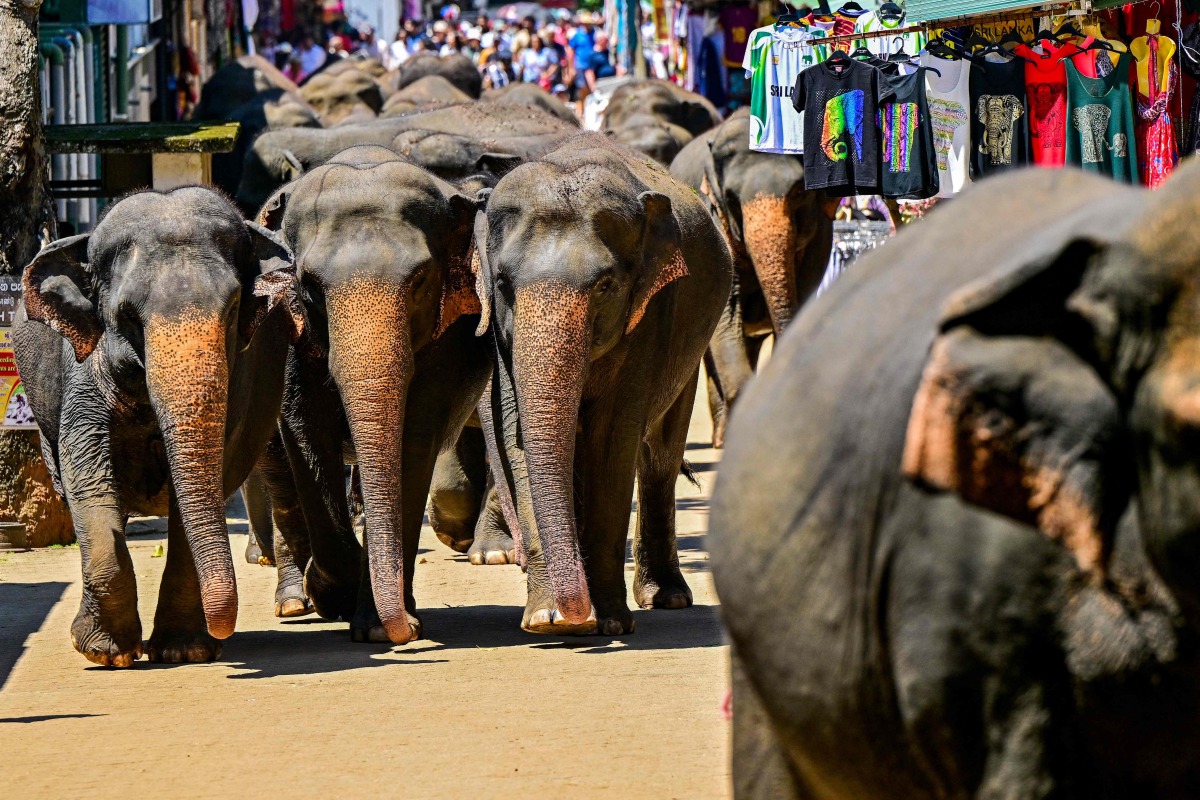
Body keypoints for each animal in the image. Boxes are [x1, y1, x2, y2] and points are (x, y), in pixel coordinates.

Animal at [12, 187, 305, 666]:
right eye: (128, 316)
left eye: (232, 310)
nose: (224, 629)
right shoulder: (84, 369)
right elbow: (88, 477)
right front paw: (106, 653)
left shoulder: (241, 377)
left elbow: (213, 475)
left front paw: (184, 650)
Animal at [257, 144, 489, 643]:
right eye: (309, 285)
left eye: (420, 280)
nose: (401, 632)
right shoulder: (287, 325)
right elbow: (305, 430)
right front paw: (332, 594)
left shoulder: (449, 339)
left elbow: (414, 440)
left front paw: (379, 627)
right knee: (279, 472)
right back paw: (294, 601)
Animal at [476, 133, 733, 635]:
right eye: (503, 283)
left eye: (606, 285)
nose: (577, 614)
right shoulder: (499, 336)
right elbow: (517, 436)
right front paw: (548, 620)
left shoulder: (649, 315)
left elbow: (613, 441)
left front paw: (610, 623)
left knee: (660, 456)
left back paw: (667, 597)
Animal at [670, 112, 831, 447]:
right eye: (731, 198)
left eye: (799, 192)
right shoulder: (713, 221)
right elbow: (726, 312)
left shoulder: (821, 235)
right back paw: (721, 439)